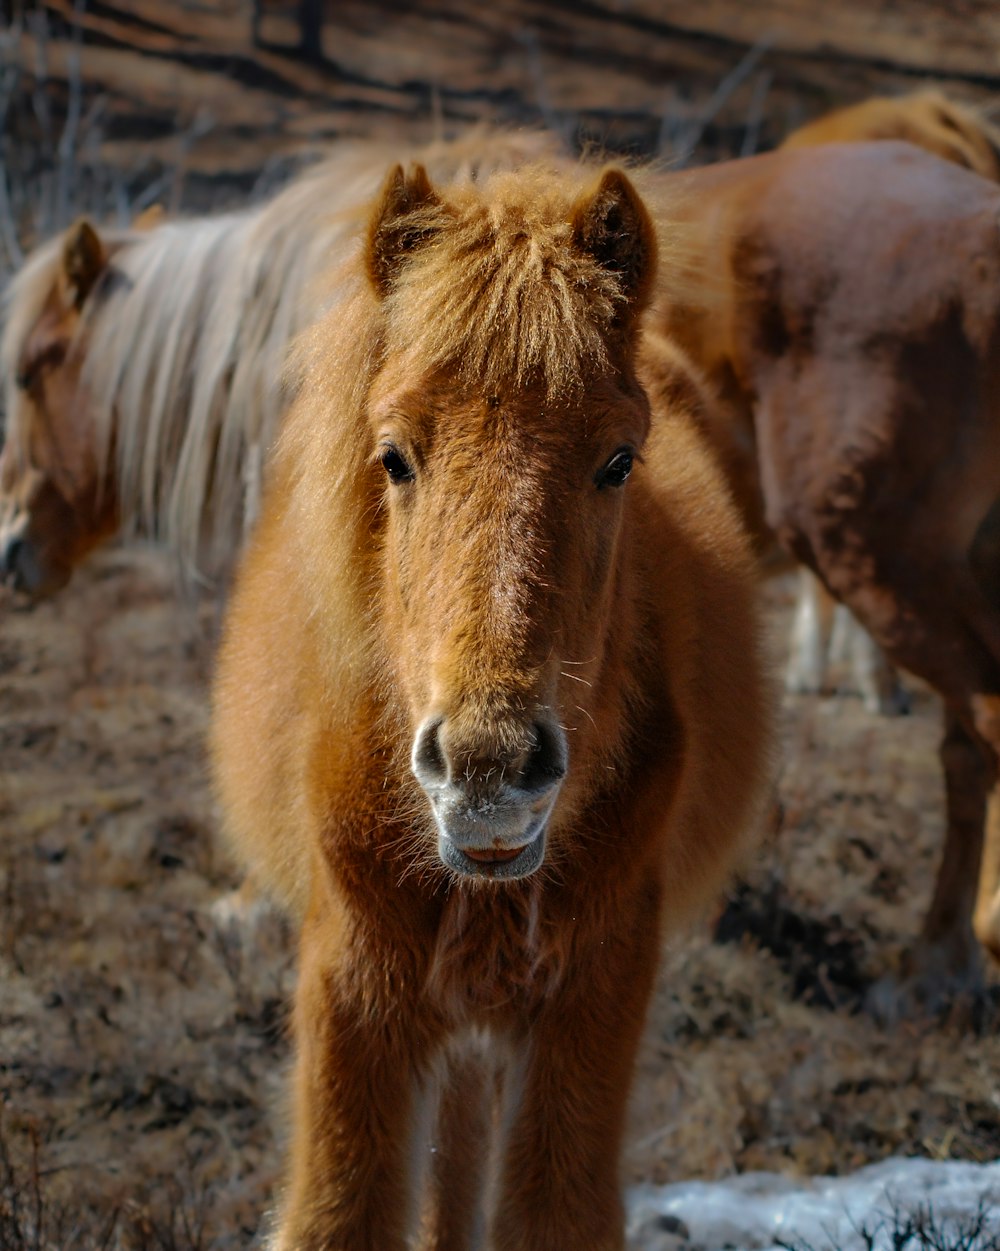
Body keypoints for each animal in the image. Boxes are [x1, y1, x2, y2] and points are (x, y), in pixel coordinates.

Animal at [212, 163, 775, 1251]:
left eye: (618, 461)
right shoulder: (356, 1002)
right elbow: (343, 1211)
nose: (488, 772)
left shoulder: (590, 1006)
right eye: (394, 455)